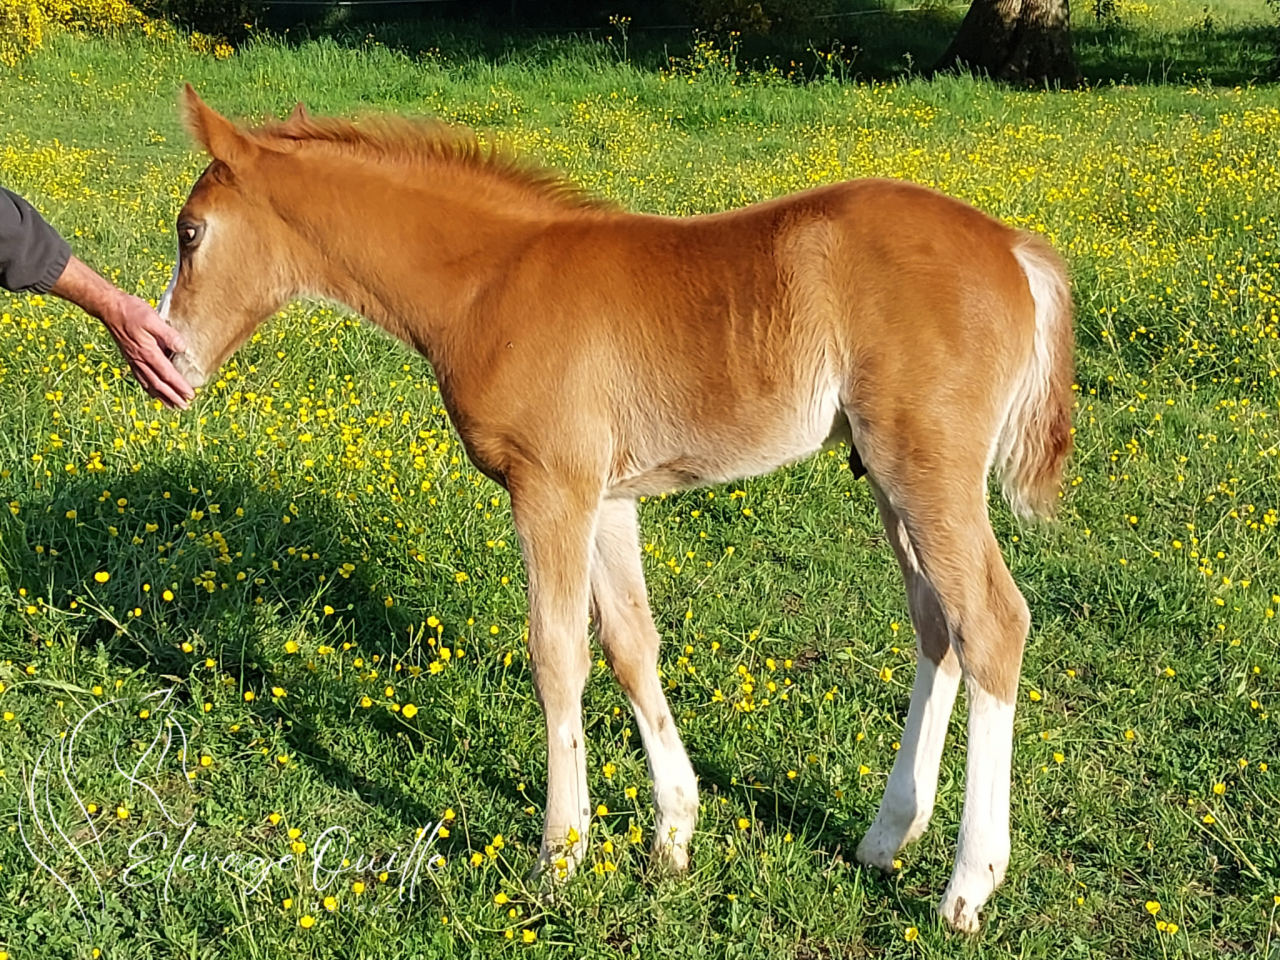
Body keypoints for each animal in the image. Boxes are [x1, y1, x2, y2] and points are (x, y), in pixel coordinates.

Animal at [162, 86, 1073, 933]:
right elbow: (632, 644)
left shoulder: (550, 489)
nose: (168, 359)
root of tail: (1014, 249)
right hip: (892, 481)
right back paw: (887, 837)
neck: (489, 282)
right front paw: (673, 833)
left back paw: (967, 885)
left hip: (926, 470)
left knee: (992, 621)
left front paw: (559, 856)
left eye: (190, 233)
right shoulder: (608, 499)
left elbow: (557, 654)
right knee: (937, 625)